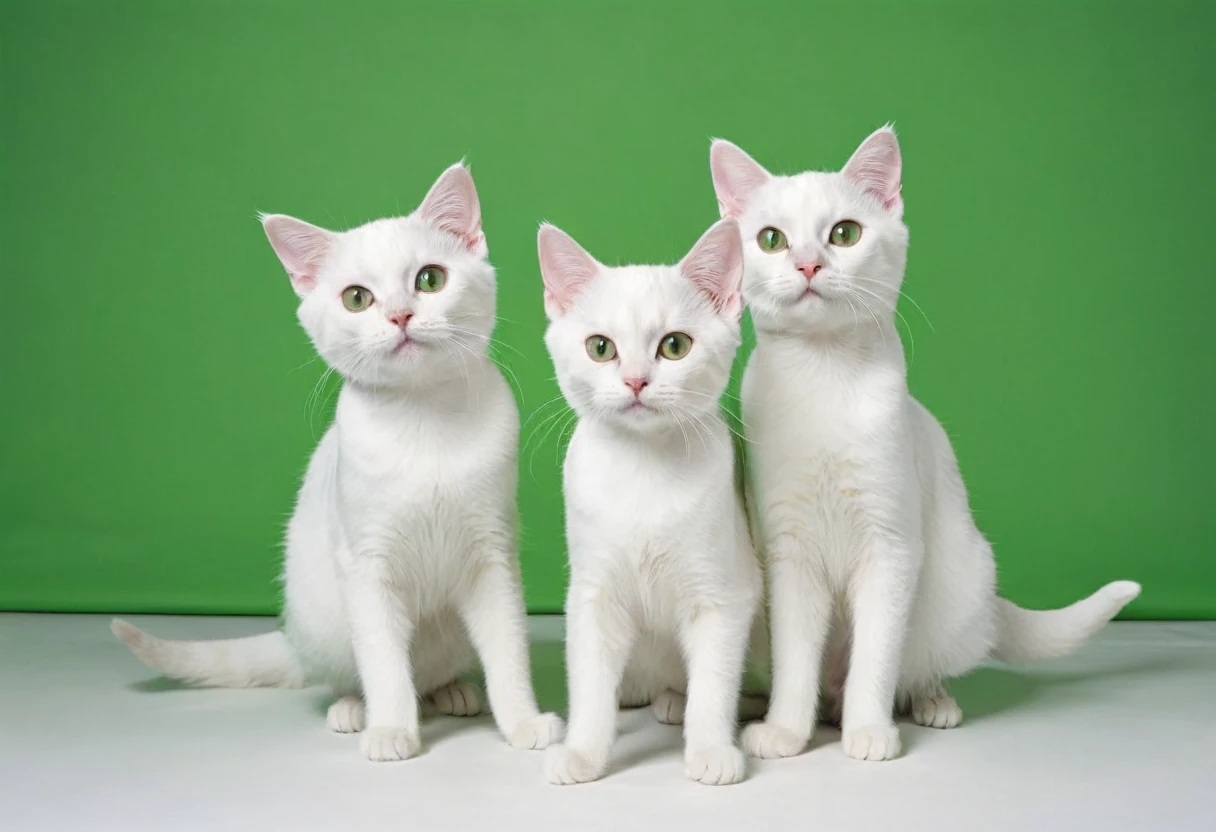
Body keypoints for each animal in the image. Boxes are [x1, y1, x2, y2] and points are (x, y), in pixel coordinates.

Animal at [109, 160, 559, 759]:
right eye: (357, 298)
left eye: (430, 280)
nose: (400, 316)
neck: (425, 422)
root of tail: (293, 642)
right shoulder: (366, 563)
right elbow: (384, 662)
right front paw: (391, 730)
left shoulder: (493, 556)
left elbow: (508, 652)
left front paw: (523, 723)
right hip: (325, 619)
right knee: (354, 673)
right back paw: (353, 710)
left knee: (432, 672)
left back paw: (451, 692)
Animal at [537, 216, 763, 788]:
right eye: (600, 347)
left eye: (675, 345)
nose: (636, 380)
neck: (643, 470)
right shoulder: (592, 594)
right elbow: (590, 680)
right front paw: (582, 752)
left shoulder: (724, 593)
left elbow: (714, 681)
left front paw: (710, 749)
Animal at [710, 128, 1143, 759]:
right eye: (772, 239)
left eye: (844, 233)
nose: (809, 262)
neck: (824, 380)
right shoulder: (789, 552)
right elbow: (796, 658)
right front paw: (786, 730)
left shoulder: (892, 546)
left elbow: (876, 656)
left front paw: (869, 732)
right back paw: (763, 704)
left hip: (958, 588)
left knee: (914, 668)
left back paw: (929, 703)